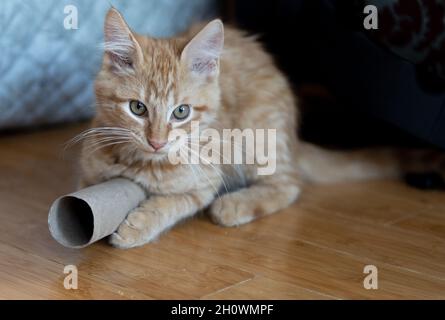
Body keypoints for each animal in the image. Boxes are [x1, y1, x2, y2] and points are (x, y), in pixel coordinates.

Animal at [78, 6, 442, 248]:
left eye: (181, 112)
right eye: (137, 108)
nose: (157, 142)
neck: (141, 161)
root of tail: (293, 138)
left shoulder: (206, 178)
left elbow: (174, 202)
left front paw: (139, 224)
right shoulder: (89, 171)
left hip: (259, 136)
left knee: (289, 184)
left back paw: (234, 204)